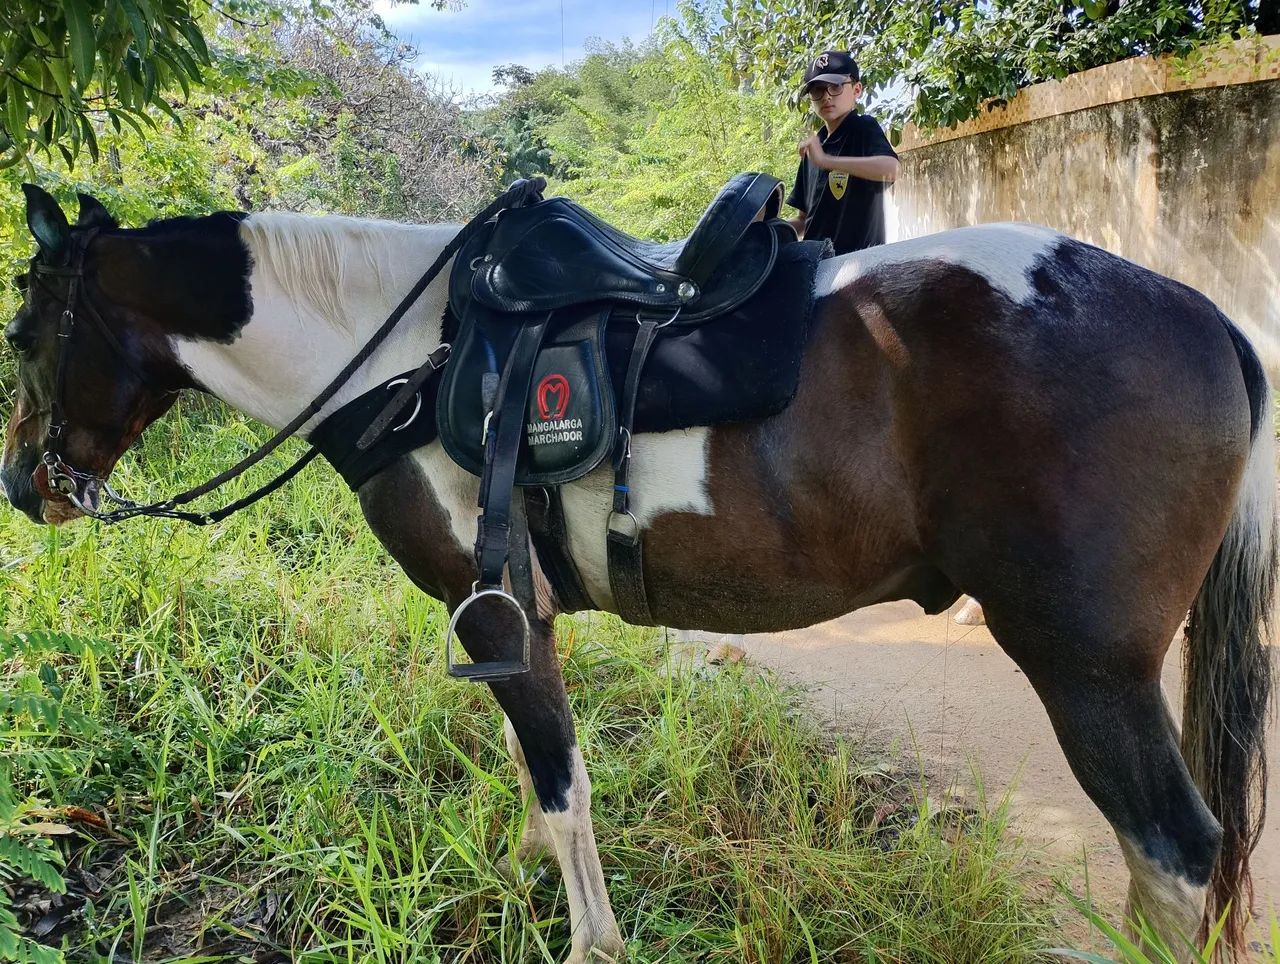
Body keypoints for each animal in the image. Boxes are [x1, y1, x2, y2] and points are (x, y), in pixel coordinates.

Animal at [3, 184, 1274, 962]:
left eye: (22, 335)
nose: (26, 486)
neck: (407, 359)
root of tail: (1205, 314)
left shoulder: (491, 616)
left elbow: (564, 790)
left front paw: (587, 940)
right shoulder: (516, 620)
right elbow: (539, 773)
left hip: (1087, 672)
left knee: (1175, 855)